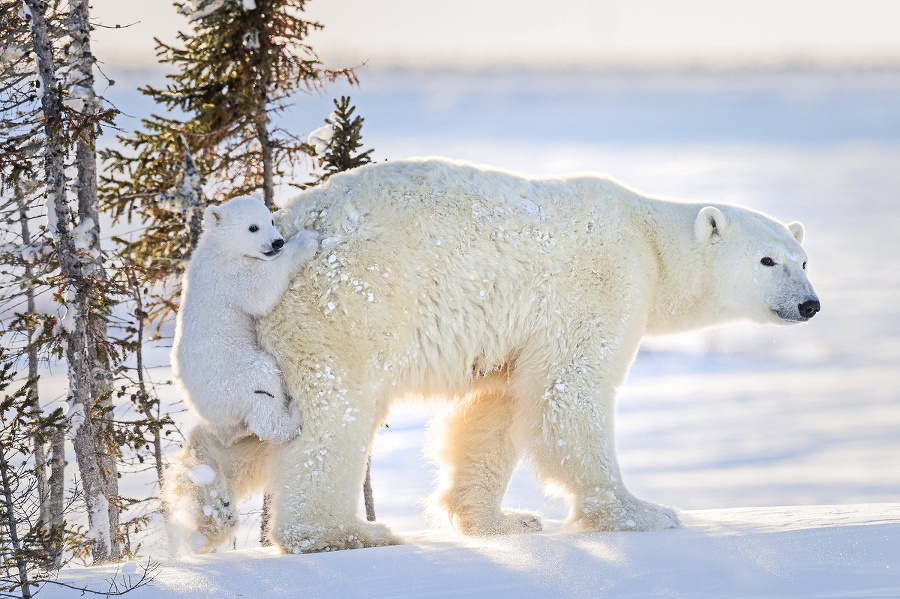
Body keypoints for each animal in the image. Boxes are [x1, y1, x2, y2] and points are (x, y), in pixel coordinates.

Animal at [178, 158, 824, 552]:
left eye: (802, 258)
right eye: (767, 260)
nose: (810, 304)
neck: (648, 239)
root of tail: (285, 223)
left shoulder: (516, 335)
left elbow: (495, 409)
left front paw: (500, 520)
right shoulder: (600, 286)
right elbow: (570, 394)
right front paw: (644, 513)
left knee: (262, 419)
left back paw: (206, 496)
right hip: (345, 308)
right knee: (330, 418)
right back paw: (346, 532)